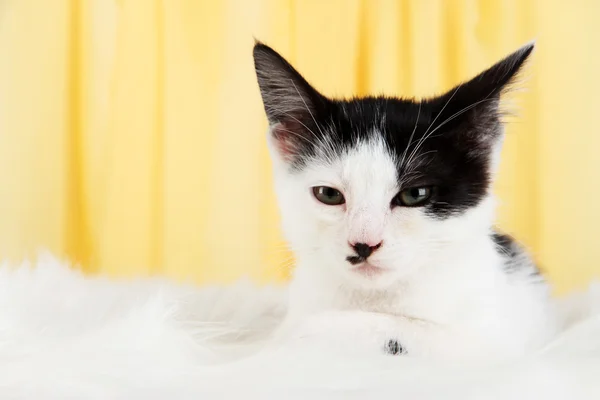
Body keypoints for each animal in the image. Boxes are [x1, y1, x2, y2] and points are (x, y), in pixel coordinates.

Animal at [252, 42, 556, 360]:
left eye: (415, 194)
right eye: (328, 194)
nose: (364, 244)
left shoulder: (495, 341)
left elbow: (395, 330)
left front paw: (292, 337)